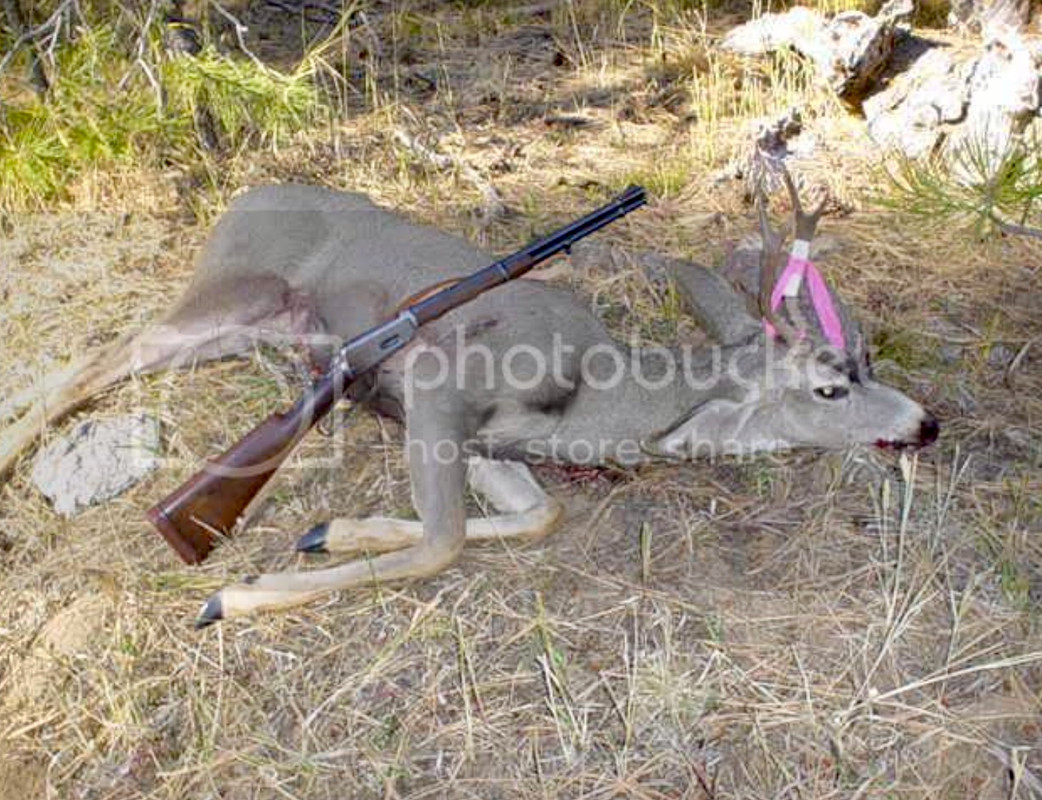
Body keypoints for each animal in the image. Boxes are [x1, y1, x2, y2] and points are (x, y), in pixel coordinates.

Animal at [0, 169, 938, 626]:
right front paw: (233, 595)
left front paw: (329, 531)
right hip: (225, 294)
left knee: (86, 363)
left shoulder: (490, 449)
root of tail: (239, 199)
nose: (925, 424)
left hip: (244, 328)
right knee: (95, 359)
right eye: (830, 385)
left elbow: (539, 515)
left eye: (869, 362)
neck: (599, 399)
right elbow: (443, 542)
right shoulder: (438, 395)